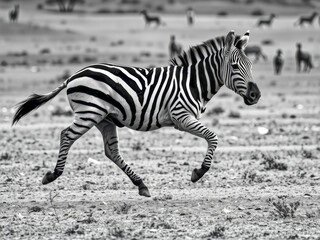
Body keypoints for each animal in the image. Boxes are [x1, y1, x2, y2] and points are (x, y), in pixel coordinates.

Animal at [13, 31, 262, 198]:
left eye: (251, 65)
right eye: (235, 66)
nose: (256, 95)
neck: (193, 82)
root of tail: (73, 75)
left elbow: (212, 138)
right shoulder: (181, 116)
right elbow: (213, 137)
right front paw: (198, 172)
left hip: (104, 119)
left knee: (111, 151)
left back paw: (141, 184)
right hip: (89, 113)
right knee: (66, 135)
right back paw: (53, 175)